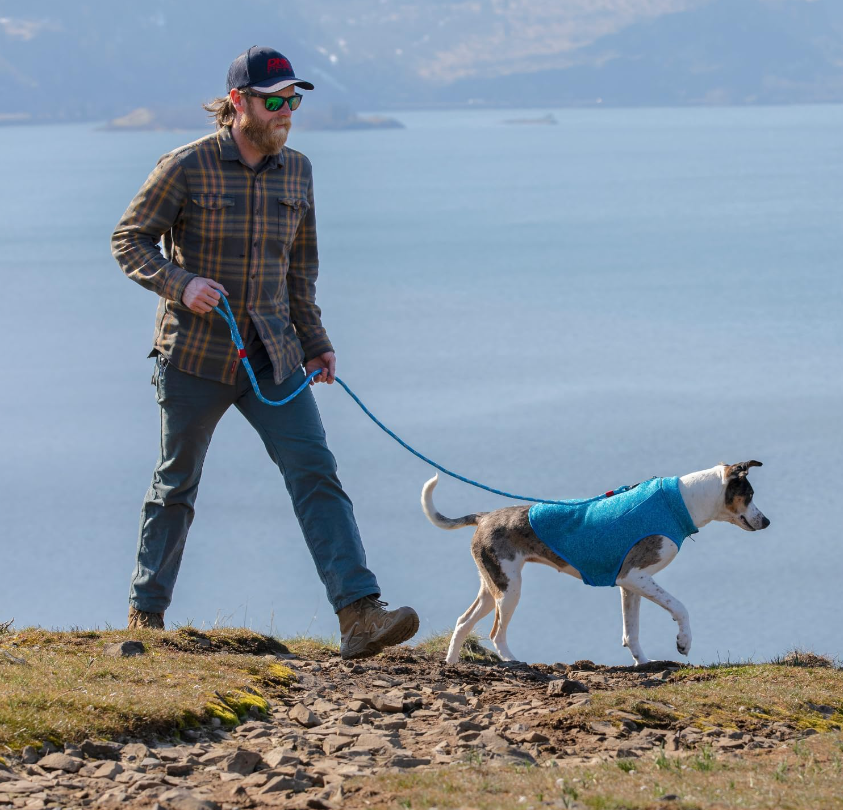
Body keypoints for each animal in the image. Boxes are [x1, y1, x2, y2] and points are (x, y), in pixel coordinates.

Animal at [422, 460, 772, 664]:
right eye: (750, 494)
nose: (767, 522)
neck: (681, 502)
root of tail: (484, 517)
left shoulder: (629, 585)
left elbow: (632, 632)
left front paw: (644, 664)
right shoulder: (635, 576)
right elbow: (680, 607)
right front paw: (683, 642)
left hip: (492, 586)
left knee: (462, 622)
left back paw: (451, 665)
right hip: (510, 591)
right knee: (496, 633)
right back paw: (512, 661)